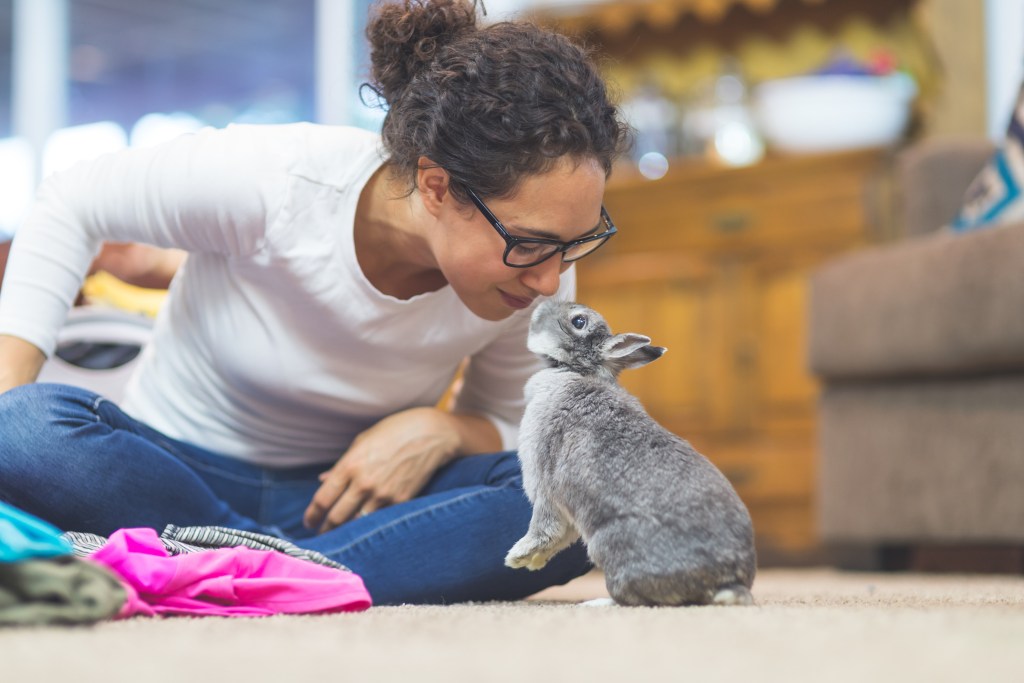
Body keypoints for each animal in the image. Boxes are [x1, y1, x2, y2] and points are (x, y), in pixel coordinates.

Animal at [507, 301, 757, 606]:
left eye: (579, 321)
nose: (542, 304)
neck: (575, 370)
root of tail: (727, 582)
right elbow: (562, 535)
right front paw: (533, 562)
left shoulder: (544, 486)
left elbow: (545, 527)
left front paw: (517, 557)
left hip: (608, 546)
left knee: (632, 599)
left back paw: (597, 603)